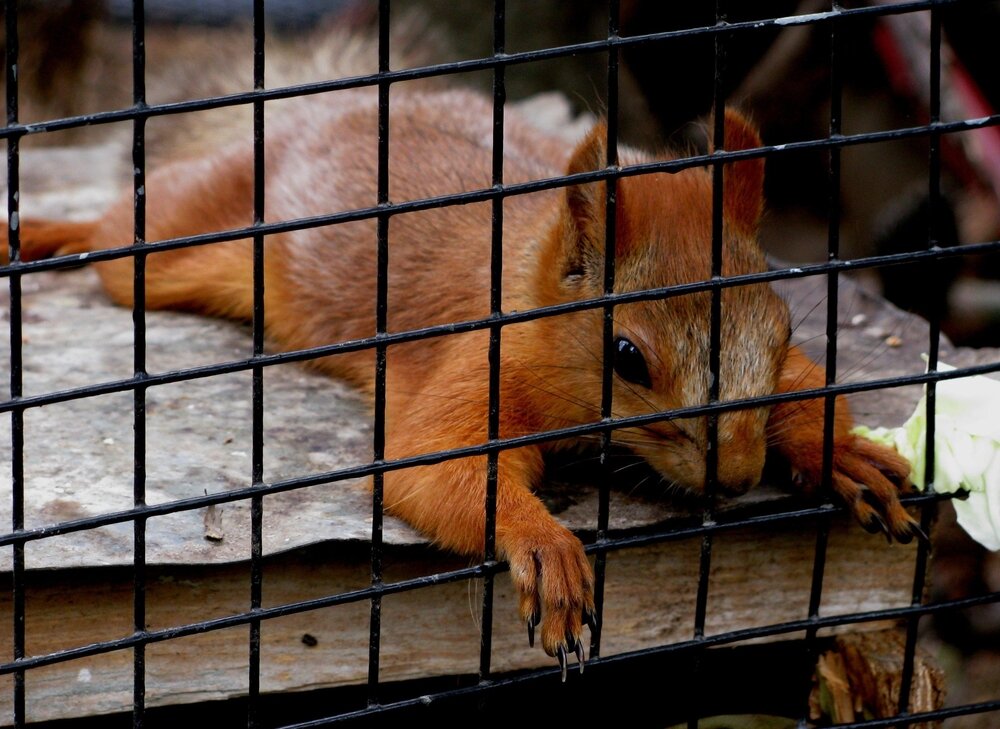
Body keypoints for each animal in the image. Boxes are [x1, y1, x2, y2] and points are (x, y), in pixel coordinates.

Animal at [2, 87, 919, 671]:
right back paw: (47, 233)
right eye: (628, 357)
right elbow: (435, 466)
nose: (735, 477)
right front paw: (547, 547)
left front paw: (839, 448)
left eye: (787, 328)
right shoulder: (472, 364)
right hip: (184, 238)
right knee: (122, 230)